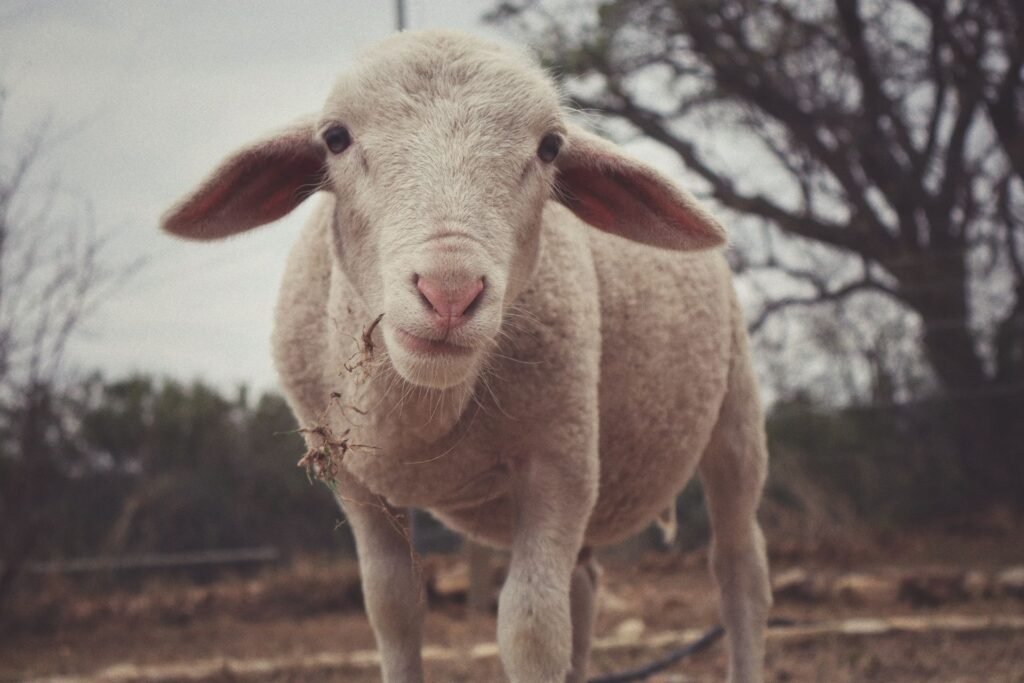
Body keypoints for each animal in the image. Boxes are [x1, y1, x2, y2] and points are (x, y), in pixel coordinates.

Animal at [161, 30, 771, 683]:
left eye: (551, 147)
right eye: (335, 138)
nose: (449, 291)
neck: (424, 413)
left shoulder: (560, 460)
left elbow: (531, 629)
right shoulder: (357, 486)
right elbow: (393, 612)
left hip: (735, 412)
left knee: (739, 570)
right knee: (584, 588)